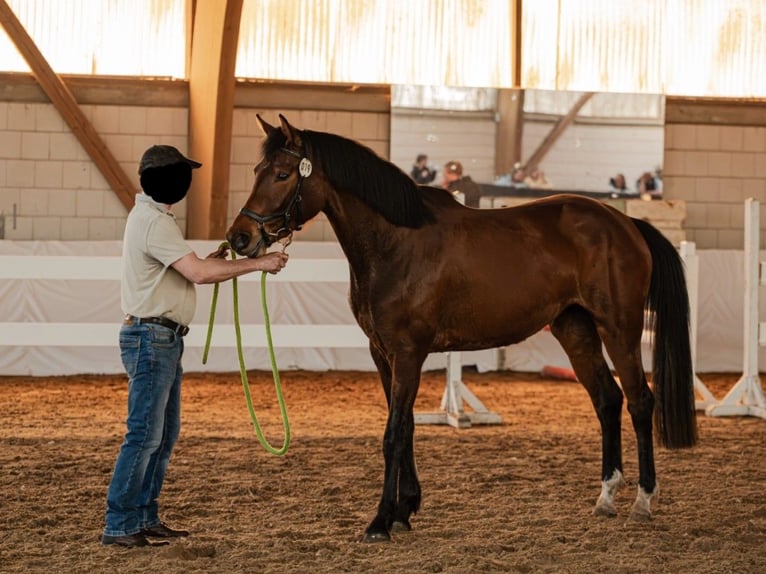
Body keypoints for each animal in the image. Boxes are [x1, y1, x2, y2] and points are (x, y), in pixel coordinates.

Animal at [225, 113, 700, 544]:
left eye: (283, 174)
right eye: (257, 171)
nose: (240, 238)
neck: (396, 241)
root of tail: (626, 224)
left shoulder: (408, 352)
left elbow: (393, 433)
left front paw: (380, 521)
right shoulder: (382, 353)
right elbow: (407, 427)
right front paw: (405, 508)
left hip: (619, 328)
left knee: (640, 401)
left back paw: (643, 500)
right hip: (575, 331)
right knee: (607, 399)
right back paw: (606, 496)